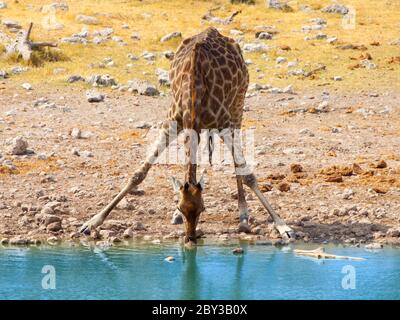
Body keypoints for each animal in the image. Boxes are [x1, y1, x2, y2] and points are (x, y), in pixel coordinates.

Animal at [80, 26, 294, 242]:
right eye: (181, 208)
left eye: (203, 209)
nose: (190, 238)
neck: (194, 89)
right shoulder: (172, 121)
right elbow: (139, 173)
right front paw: (91, 222)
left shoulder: (224, 122)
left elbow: (247, 174)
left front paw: (282, 225)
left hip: (238, 106)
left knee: (237, 164)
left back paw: (243, 216)